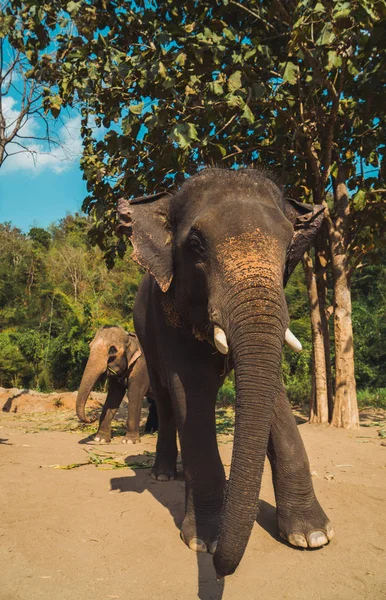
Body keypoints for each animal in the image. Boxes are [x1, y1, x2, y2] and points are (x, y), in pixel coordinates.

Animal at [118, 166, 334, 580]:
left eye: (289, 246)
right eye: (196, 245)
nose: (220, 572)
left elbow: (272, 391)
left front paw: (312, 536)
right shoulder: (168, 311)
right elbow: (192, 391)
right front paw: (205, 541)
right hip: (144, 334)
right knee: (166, 401)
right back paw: (164, 475)